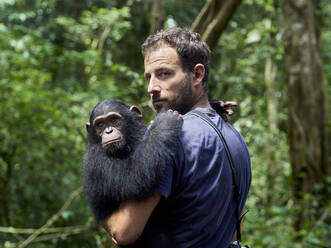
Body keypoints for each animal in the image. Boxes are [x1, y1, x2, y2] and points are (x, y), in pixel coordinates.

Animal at [82, 98, 182, 246]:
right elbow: (132, 178)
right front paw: (164, 123)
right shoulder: (95, 161)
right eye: (100, 125)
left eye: (114, 120)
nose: (108, 131)